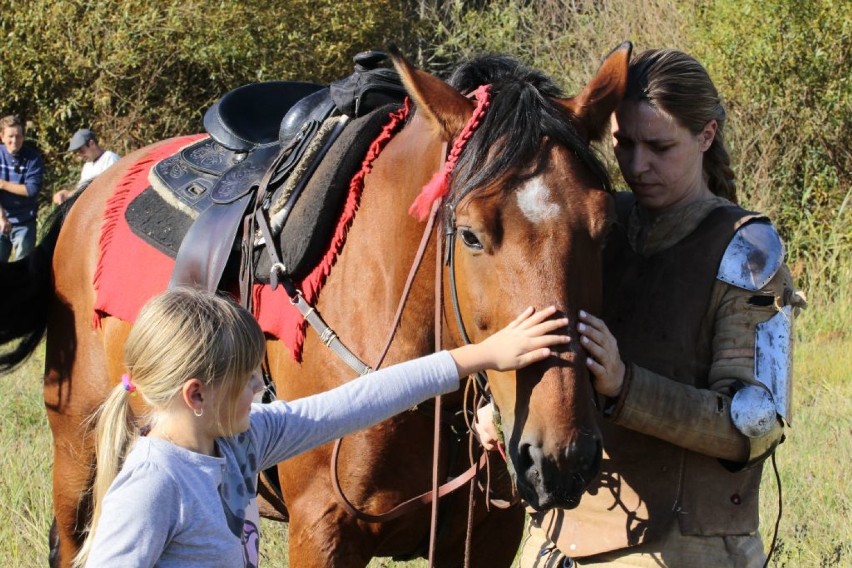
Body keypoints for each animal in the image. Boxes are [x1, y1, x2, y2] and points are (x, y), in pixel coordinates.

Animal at [0, 45, 624, 568]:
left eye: (606, 227)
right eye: (469, 235)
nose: (563, 457)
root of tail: (88, 194)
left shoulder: (487, 535)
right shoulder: (323, 530)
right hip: (79, 455)